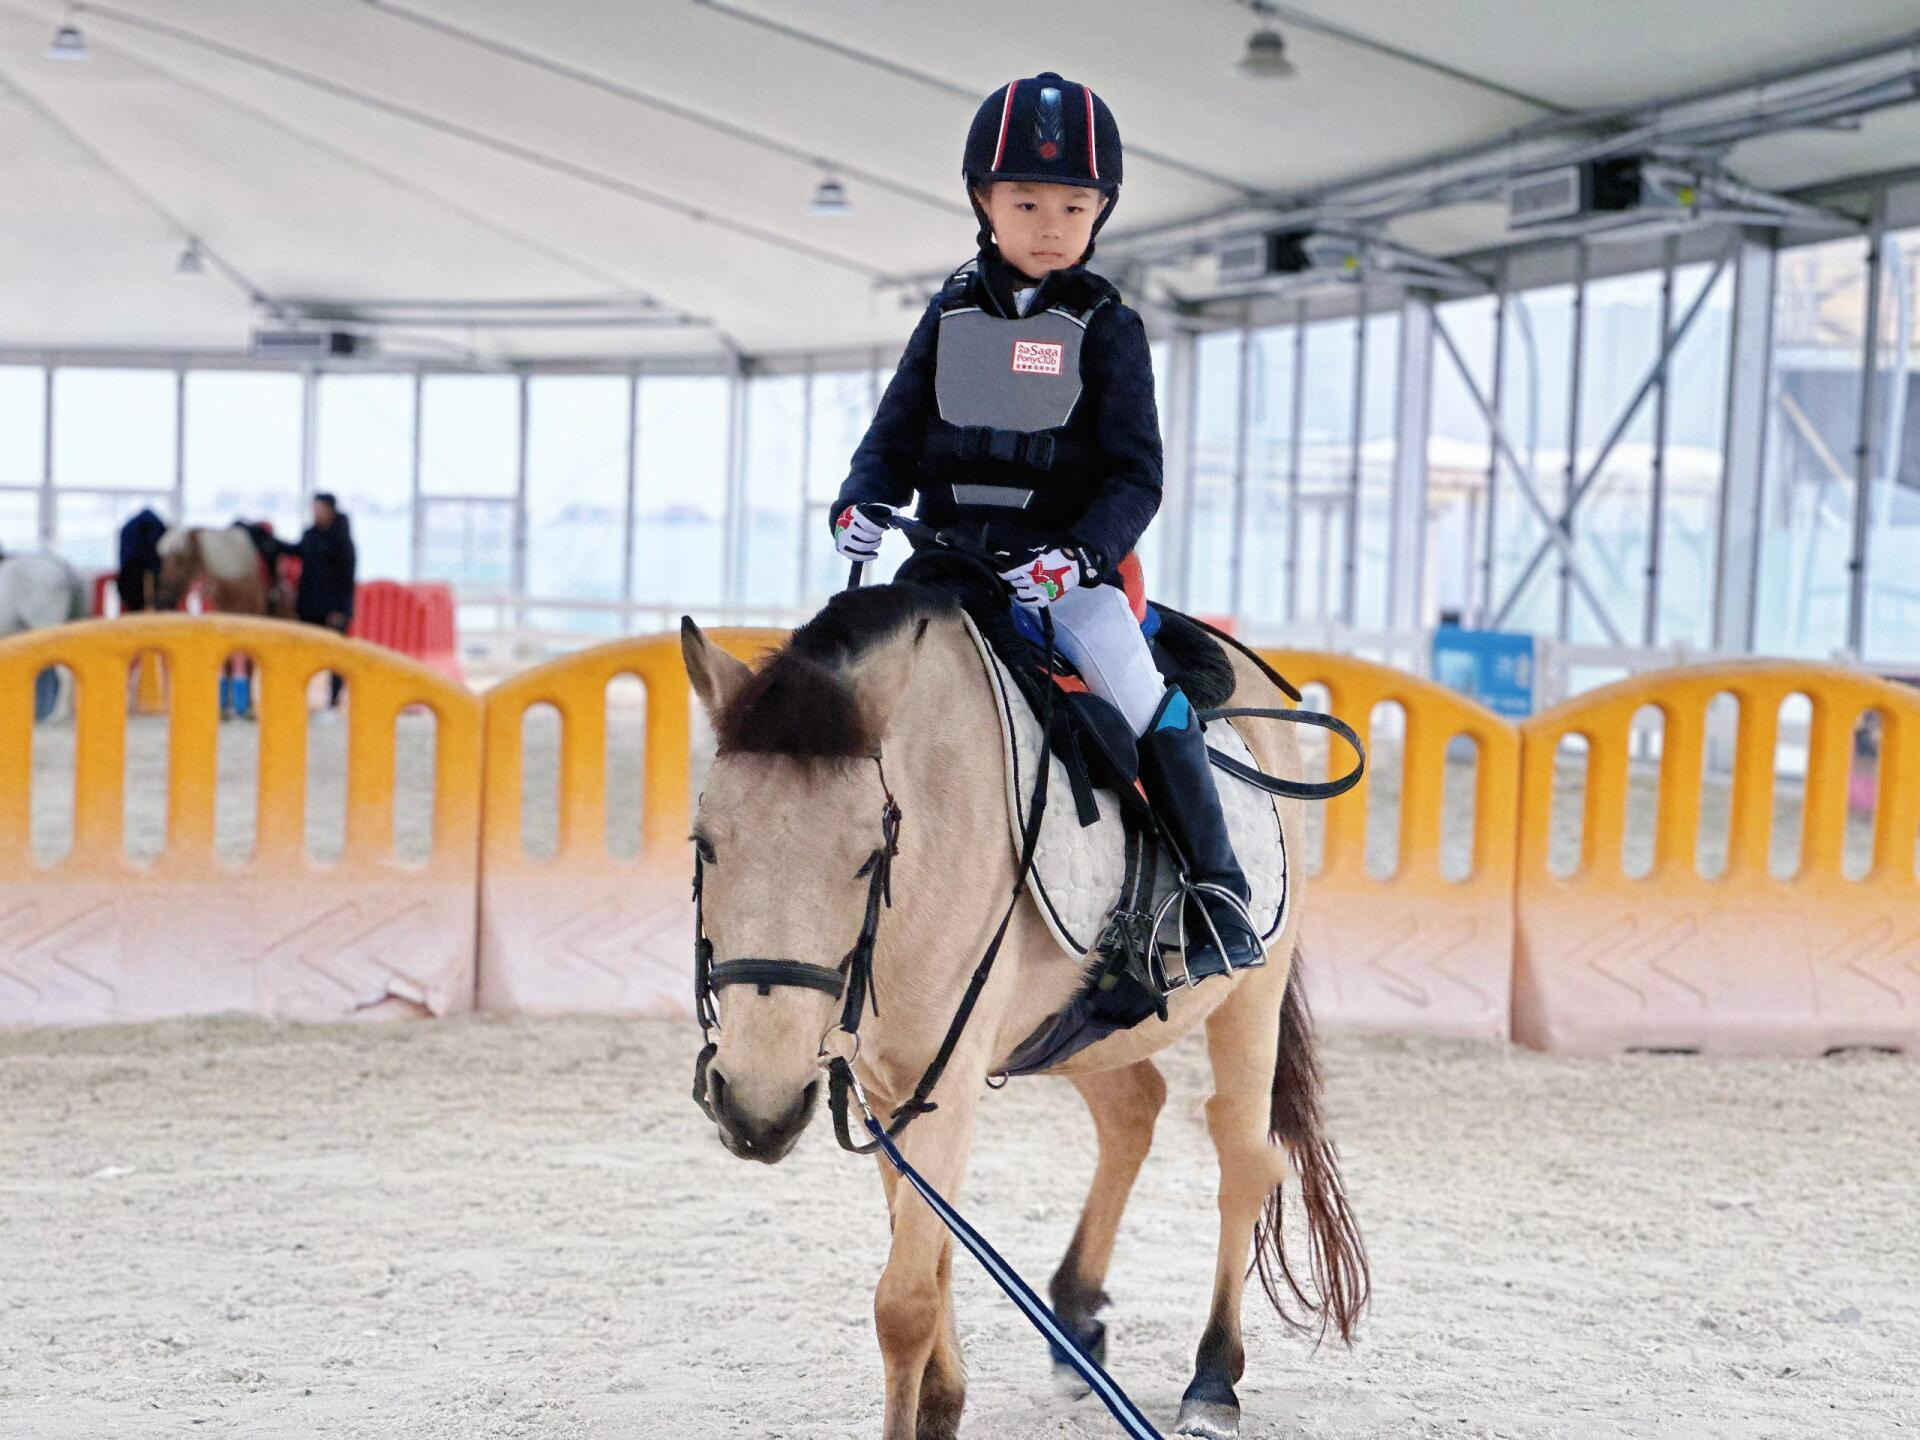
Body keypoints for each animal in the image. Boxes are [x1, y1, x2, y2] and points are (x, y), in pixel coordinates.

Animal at [681, 582, 1368, 1440]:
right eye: (704, 844)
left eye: (870, 857)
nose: (758, 1106)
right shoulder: (889, 1087)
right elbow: (932, 1253)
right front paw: (944, 1402)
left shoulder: (945, 1079)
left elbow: (906, 1300)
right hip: (1076, 1027)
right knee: (1135, 1106)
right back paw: (1076, 1318)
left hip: (1252, 996)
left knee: (1245, 1159)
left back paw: (1213, 1379)